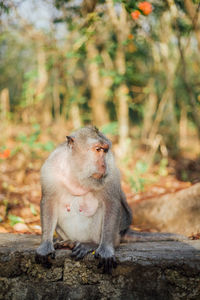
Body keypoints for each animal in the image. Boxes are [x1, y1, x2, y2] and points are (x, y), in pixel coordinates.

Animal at [35, 126, 186, 274]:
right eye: (98, 149)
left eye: (105, 150)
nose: (103, 164)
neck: (76, 171)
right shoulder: (50, 167)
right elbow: (49, 201)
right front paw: (45, 245)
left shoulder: (111, 169)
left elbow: (111, 203)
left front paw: (105, 249)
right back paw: (69, 241)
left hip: (115, 233)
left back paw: (92, 244)